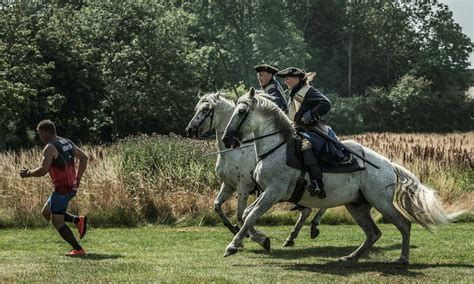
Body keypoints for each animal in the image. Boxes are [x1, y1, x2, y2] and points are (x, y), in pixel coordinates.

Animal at [185, 92, 326, 246]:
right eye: (197, 108)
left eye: (205, 109)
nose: (189, 130)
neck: (234, 151)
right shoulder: (228, 185)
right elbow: (217, 206)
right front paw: (234, 228)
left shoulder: (243, 187)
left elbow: (241, 214)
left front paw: (255, 237)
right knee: (307, 210)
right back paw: (294, 236)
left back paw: (313, 225)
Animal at [221, 88, 462, 264]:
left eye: (241, 112)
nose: (226, 139)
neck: (276, 148)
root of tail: (388, 165)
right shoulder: (268, 194)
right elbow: (246, 215)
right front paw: (261, 239)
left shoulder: (273, 192)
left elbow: (250, 215)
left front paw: (233, 246)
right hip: (357, 205)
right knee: (373, 233)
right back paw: (351, 256)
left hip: (380, 202)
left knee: (404, 225)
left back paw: (402, 258)